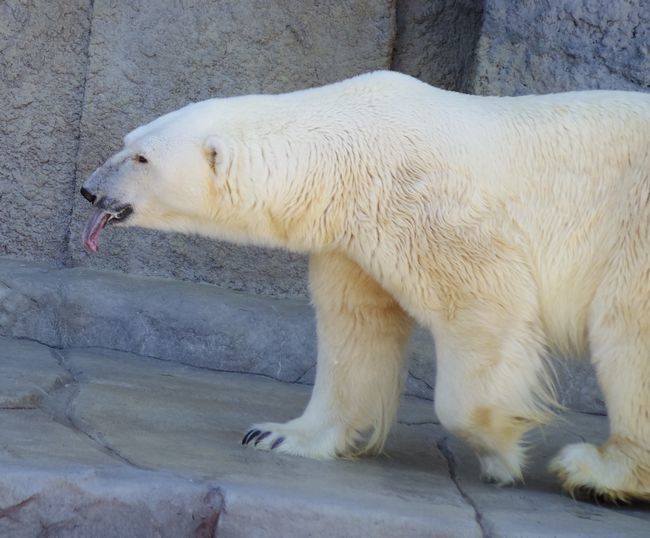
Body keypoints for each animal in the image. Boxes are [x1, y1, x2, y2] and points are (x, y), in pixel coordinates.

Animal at [81, 71, 648, 502]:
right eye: (127, 142)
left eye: (142, 159)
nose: (89, 190)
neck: (349, 147)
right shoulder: (351, 236)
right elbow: (356, 327)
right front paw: (277, 434)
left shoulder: (428, 204)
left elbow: (486, 305)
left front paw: (500, 451)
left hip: (634, 230)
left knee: (626, 336)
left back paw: (597, 470)